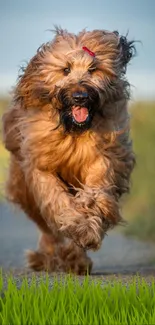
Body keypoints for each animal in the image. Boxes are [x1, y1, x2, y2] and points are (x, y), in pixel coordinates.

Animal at [2, 27, 136, 274]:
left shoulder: (103, 156)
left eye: (93, 69)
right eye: (65, 69)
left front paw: (87, 228)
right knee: (47, 227)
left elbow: (96, 192)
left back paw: (76, 259)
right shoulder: (40, 165)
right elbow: (55, 199)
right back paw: (48, 257)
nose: (80, 96)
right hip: (23, 189)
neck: (73, 130)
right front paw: (76, 224)